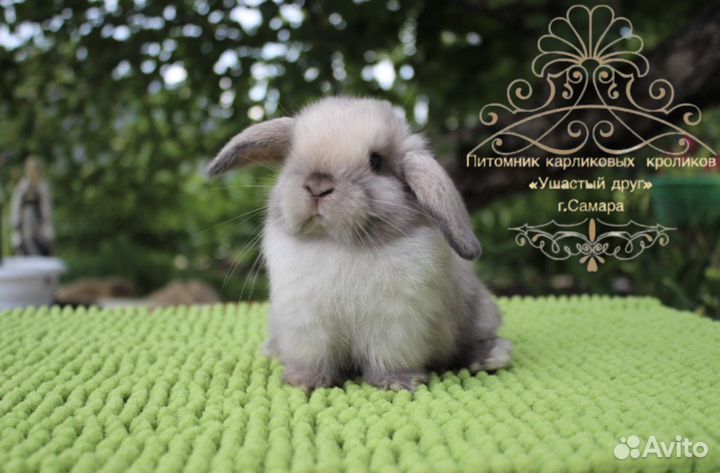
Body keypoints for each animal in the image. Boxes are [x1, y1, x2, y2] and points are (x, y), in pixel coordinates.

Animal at [206, 96, 512, 391]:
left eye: (376, 161)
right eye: (292, 157)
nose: (318, 186)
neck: (338, 244)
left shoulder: (395, 324)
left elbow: (390, 357)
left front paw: (396, 383)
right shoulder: (307, 324)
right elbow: (314, 357)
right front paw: (304, 382)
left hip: (479, 314)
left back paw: (490, 357)